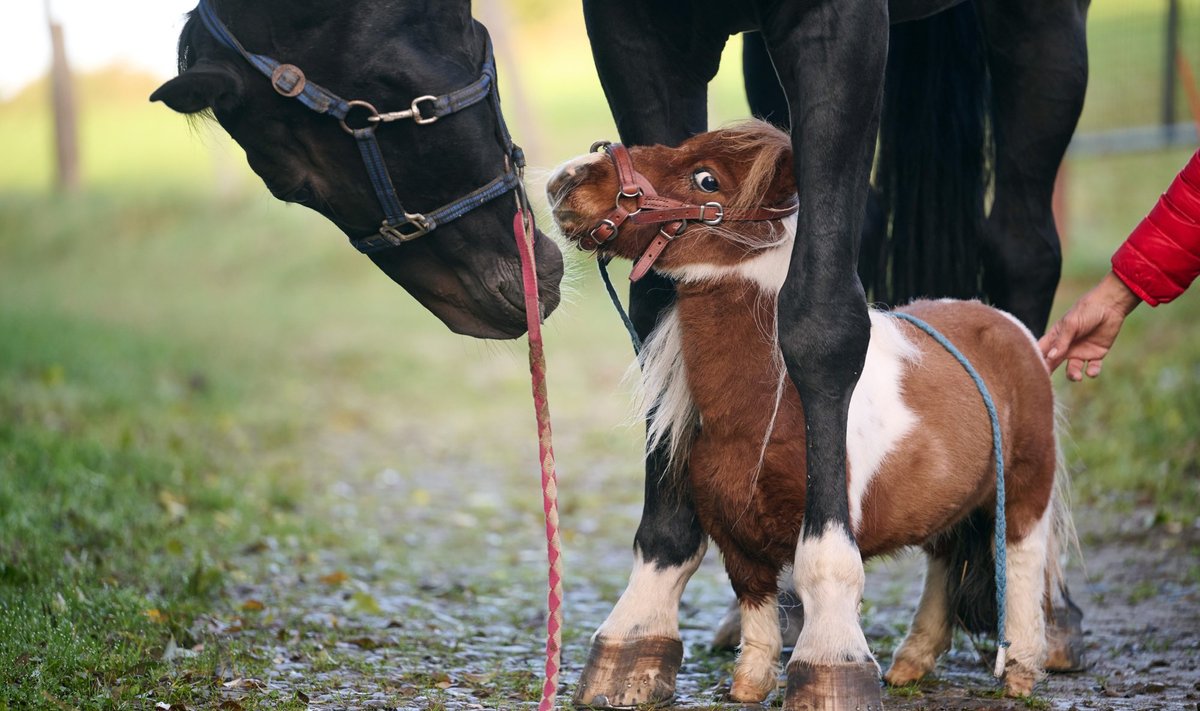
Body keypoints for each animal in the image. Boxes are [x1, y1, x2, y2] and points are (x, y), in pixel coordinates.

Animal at [568, 0, 1089, 706]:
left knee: (1024, 249)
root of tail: (1004, 328)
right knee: (948, 552)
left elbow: (823, 318)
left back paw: (1031, 650)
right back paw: (913, 657)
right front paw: (650, 646)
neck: (759, 413)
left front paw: (831, 655)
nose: (568, 180)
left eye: (706, 178)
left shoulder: (842, 30)